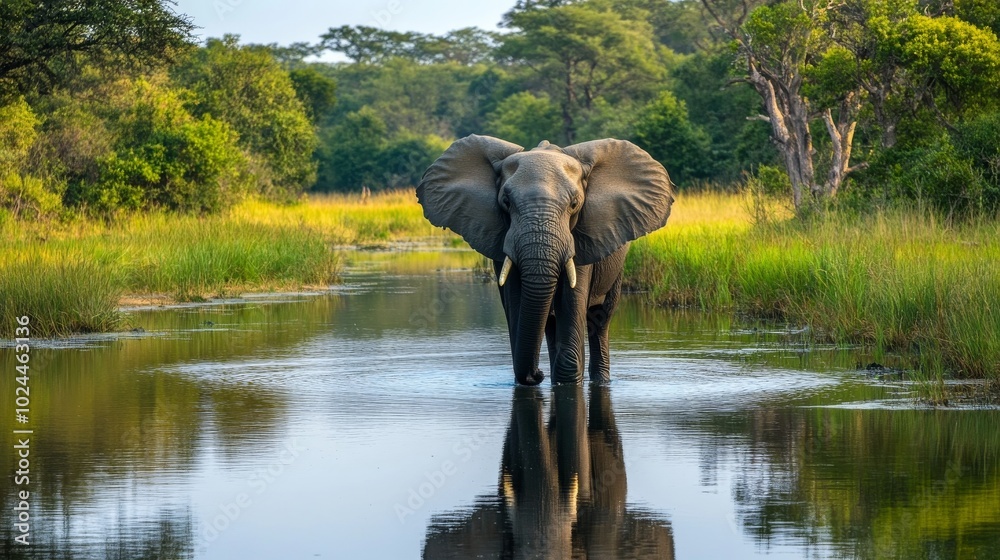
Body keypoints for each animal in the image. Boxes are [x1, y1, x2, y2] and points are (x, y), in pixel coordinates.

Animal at [417, 135, 674, 385]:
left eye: (574, 204)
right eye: (506, 202)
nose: (537, 374)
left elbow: (572, 306)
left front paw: (566, 381)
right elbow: (517, 303)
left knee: (600, 320)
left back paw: (599, 380)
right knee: (550, 324)